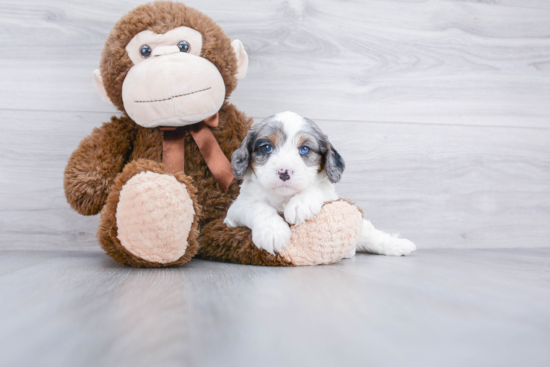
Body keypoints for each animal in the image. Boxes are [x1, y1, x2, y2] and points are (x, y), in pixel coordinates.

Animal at [224, 110, 418, 258]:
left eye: (304, 149)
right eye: (266, 147)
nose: (284, 172)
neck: (284, 198)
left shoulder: (330, 195)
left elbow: (317, 189)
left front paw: (300, 204)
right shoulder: (236, 209)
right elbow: (258, 207)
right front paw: (272, 231)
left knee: (370, 233)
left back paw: (397, 244)